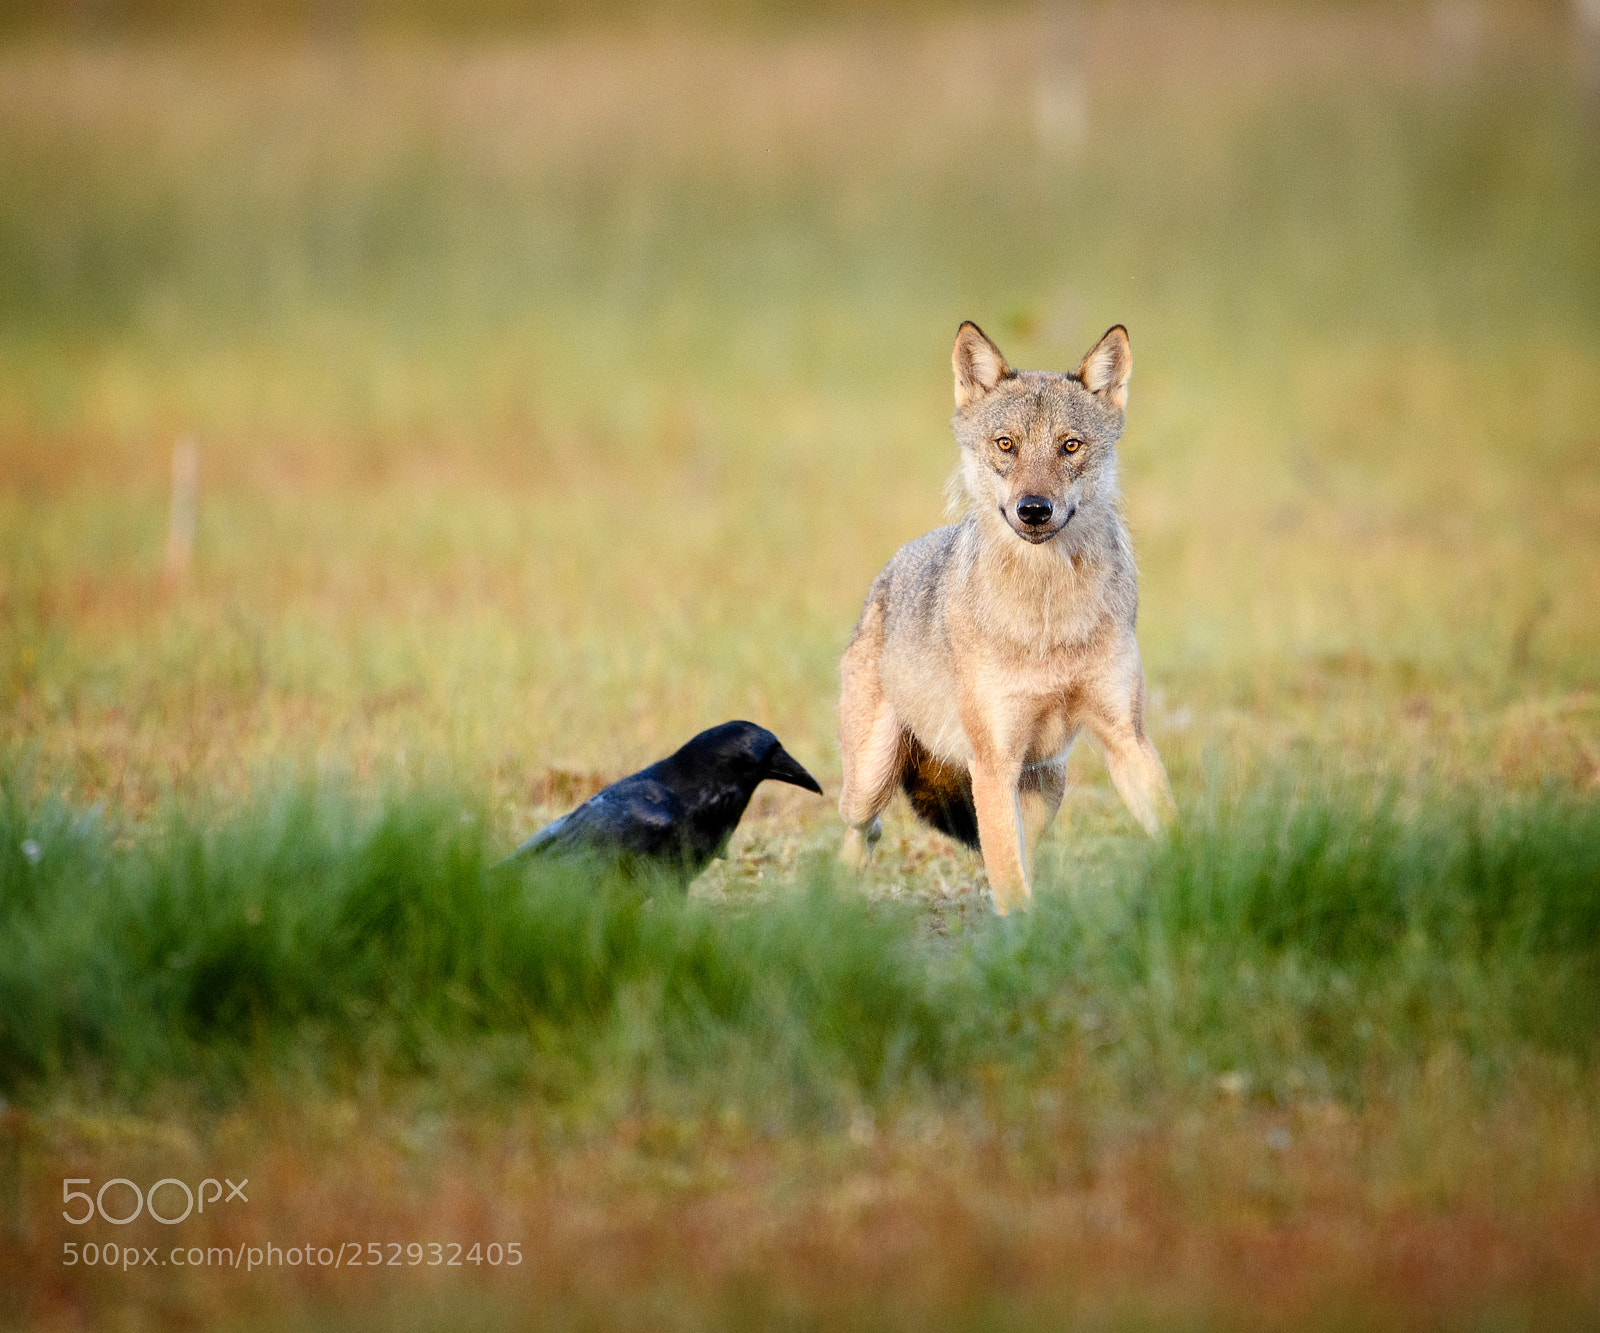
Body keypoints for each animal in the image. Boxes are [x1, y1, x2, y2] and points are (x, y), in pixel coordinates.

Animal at [837, 321, 1173, 913]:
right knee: (863, 830)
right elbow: (1010, 887)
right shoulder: (991, 763)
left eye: (1070, 445)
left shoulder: (1127, 739)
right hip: (870, 779)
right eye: (1006, 445)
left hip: (1046, 784)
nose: (1033, 509)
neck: (1047, 617)